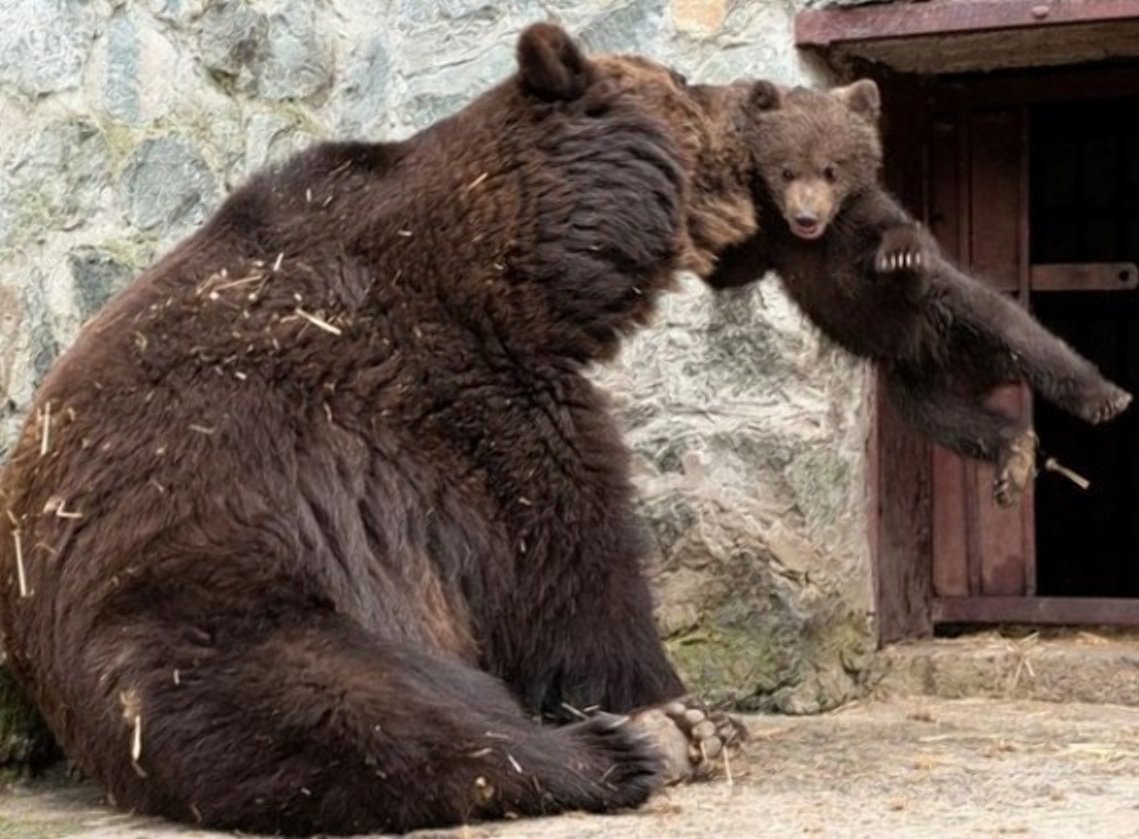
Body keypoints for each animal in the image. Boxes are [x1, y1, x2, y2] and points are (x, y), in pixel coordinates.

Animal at [0, 22, 769, 833]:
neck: (515, 271)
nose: (758, 94)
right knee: (356, 711)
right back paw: (627, 748)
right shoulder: (468, 401)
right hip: (202, 602)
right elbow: (575, 573)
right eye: (681, 78)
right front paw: (682, 705)